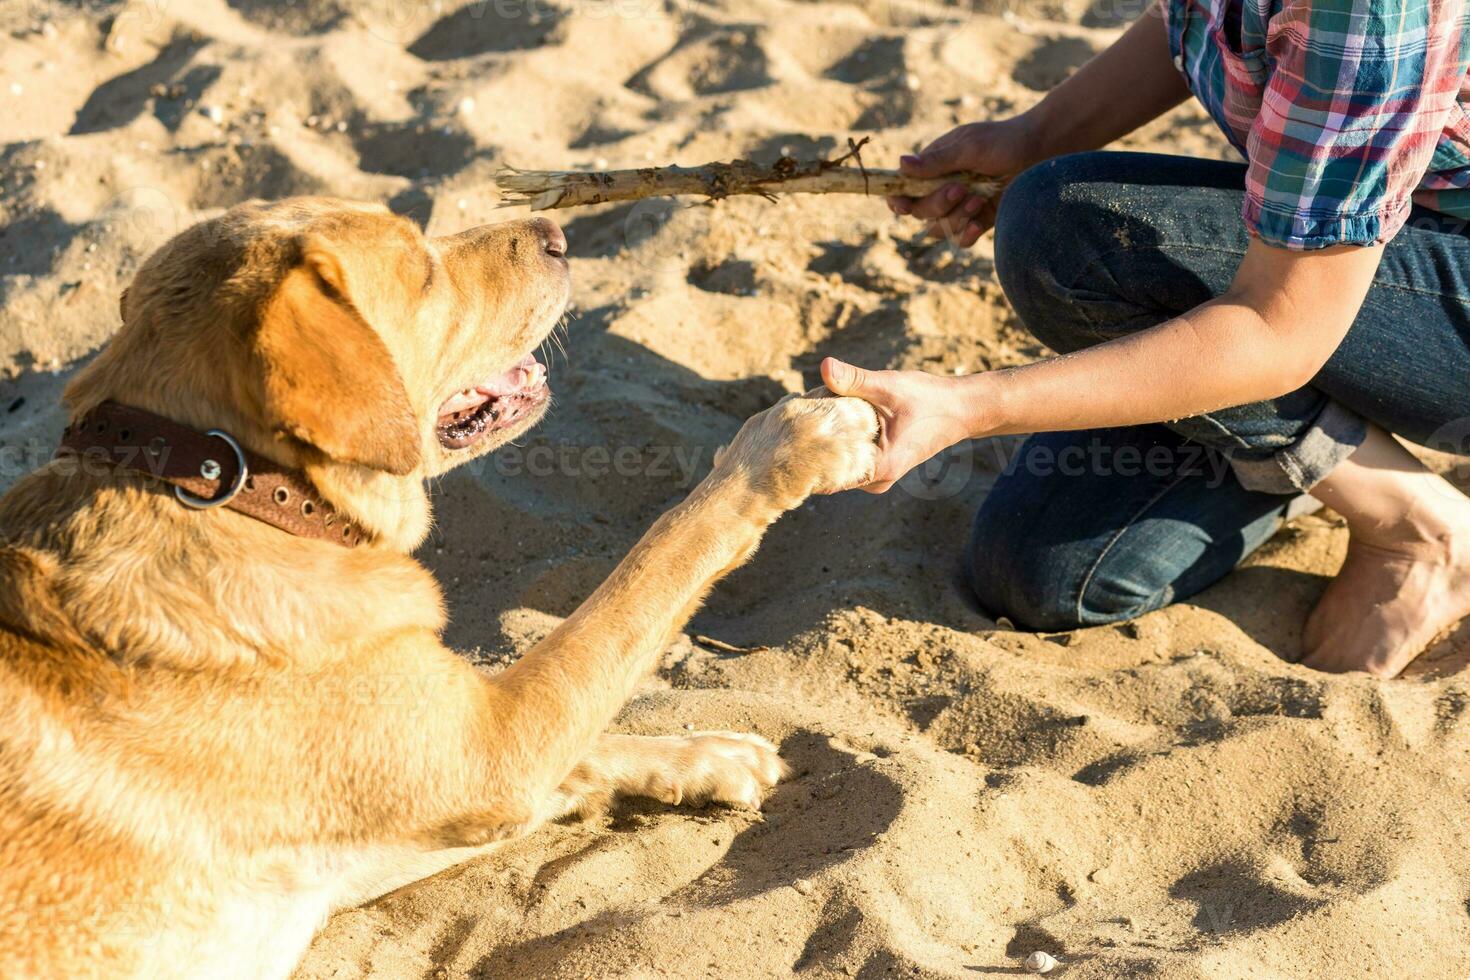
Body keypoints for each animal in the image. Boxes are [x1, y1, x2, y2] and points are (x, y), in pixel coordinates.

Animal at [0, 195, 870, 975]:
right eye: (422, 271)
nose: (558, 234)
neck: (226, 487)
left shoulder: (397, 819)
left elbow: (585, 749)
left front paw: (703, 757)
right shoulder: (500, 749)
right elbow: (655, 562)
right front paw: (788, 445)